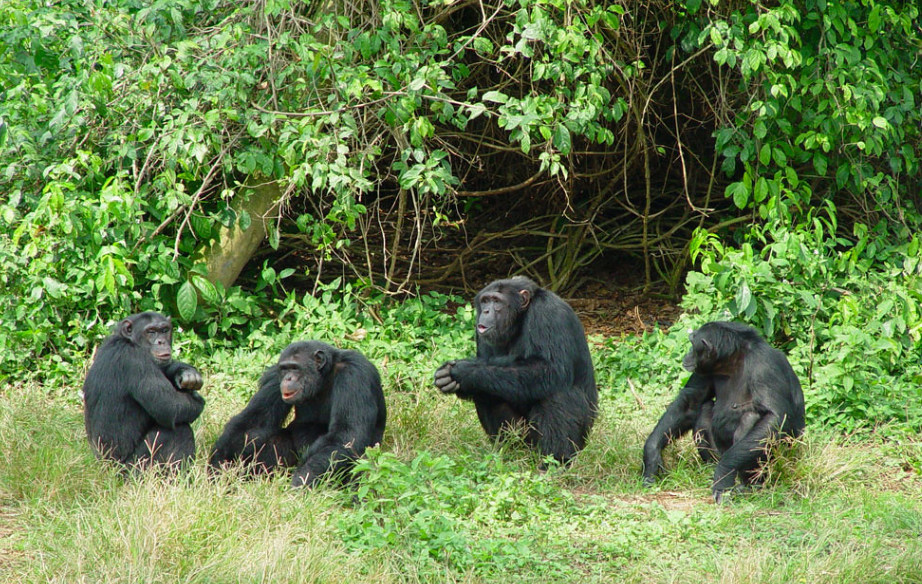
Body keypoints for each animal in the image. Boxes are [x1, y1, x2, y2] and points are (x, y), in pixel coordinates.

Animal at [83, 310, 205, 470]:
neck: (129, 342)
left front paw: (187, 373)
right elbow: (171, 406)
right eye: (151, 332)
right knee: (178, 431)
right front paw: (197, 400)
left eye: (164, 330)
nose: (161, 342)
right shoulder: (136, 361)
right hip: (133, 467)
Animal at [208, 340, 384, 490]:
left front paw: (301, 482)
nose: (288, 378)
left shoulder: (354, 375)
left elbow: (346, 434)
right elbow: (253, 422)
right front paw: (219, 467)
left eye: (295, 368)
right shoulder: (274, 376)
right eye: (284, 369)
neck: (324, 377)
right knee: (269, 438)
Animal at [434, 276, 596, 464]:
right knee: (485, 390)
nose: (486, 311)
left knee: (555, 394)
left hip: (580, 440)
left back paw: (554, 462)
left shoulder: (548, 313)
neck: (519, 319)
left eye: (497, 301)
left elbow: (549, 368)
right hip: (525, 440)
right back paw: (509, 454)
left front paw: (462, 370)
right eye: (485, 301)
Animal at [640, 322, 804, 500]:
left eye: (692, 343)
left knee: (751, 418)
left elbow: (774, 417)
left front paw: (724, 473)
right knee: (704, 408)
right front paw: (652, 456)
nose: (688, 353)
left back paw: (749, 485)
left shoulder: (764, 365)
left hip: (780, 460)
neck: (732, 361)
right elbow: (692, 401)